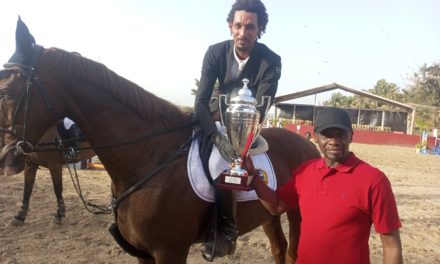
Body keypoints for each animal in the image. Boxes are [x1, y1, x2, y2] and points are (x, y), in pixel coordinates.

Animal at [0, 18, 320, 264]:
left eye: (5, 92)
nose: (7, 158)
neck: (147, 157)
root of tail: (307, 144)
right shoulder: (143, 252)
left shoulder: (169, 251)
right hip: (269, 214)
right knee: (279, 250)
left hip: (297, 215)